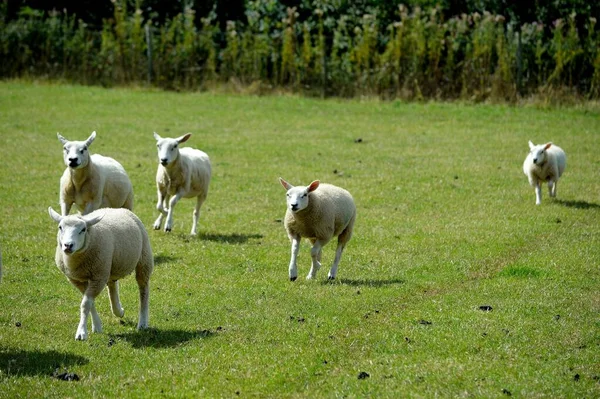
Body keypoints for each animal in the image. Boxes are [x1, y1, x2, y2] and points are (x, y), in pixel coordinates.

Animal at [48, 206, 154, 340]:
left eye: (83, 229)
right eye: (60, 227)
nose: (68, 245)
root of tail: (115, 208)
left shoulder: (98, 277)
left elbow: (85, 304)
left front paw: (81, 332)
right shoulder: (77, 280)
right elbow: (89, 303)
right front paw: (97, 326)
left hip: (144, 258)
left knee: (143, 289)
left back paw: (143, 323)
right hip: (109, 267)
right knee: (113, 285)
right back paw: (119, 310)